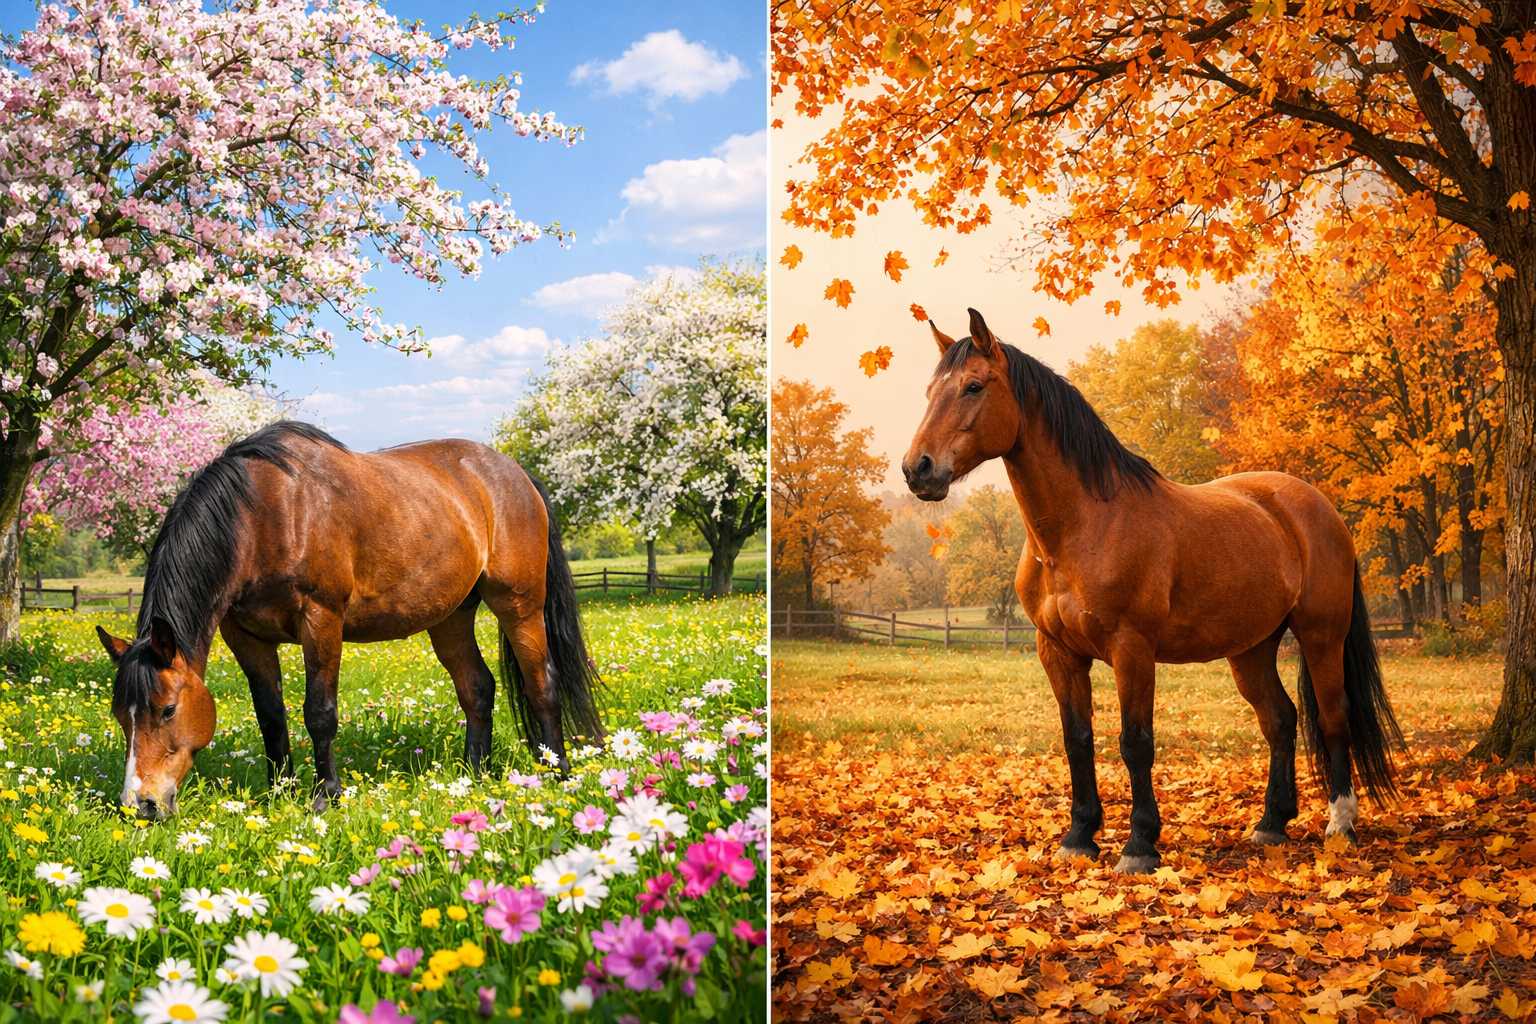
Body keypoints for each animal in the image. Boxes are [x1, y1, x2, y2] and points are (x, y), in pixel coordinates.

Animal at [95, 421, 602, 820]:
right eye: (121, 715)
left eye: (167, 709)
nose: (140, 806)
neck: (265, 514)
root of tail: (516, 474)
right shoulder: (246, 636)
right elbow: (270, 716)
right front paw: (280, 793)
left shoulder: (321, 620)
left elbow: (319, 713)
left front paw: (326, 797)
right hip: (451, 617)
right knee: (477, 688)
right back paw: (473, 775)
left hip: (520, 605)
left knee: (542, 682)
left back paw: (559, 772)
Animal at [901, 308, 1402, 873]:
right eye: (930, 391)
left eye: (974, 386)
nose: (918, 469)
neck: (1084, 526)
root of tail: (1318, 507)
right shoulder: (1058, 652)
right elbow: (1078, 740)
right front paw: (1080, 836)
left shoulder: (1131, 649)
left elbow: (1135, 742)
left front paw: (1140, 845)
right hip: (1251, 649)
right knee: (1279, 719)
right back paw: (1271, 824)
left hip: (1321, 636)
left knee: (1334, 716)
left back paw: (1341, 826)